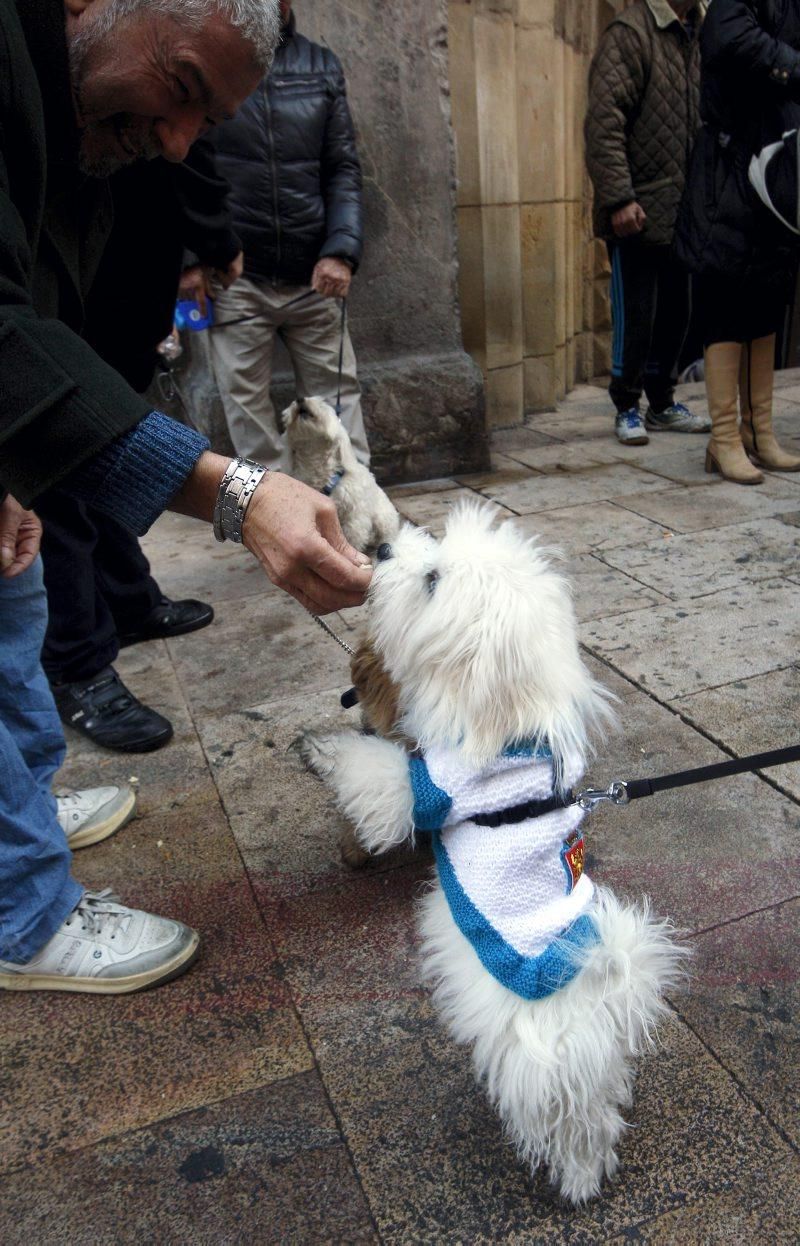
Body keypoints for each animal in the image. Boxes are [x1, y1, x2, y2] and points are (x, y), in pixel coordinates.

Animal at [299, 503, 687, 1206]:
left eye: (431, 580)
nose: (384, 549)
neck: (509, 727)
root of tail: (607, 985)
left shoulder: (421, 786)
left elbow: (368, 769)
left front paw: (318, 750)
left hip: (534, 1059)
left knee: (565, 1120)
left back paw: (574, 1180)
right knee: (600, 1111)